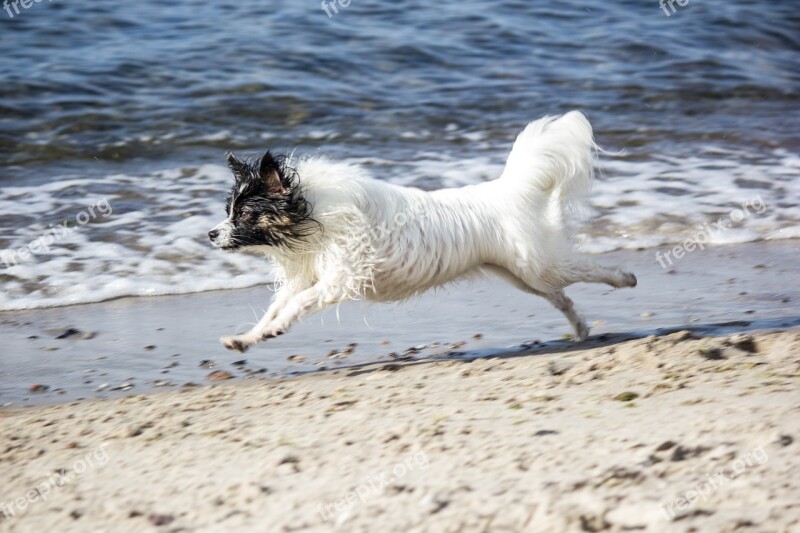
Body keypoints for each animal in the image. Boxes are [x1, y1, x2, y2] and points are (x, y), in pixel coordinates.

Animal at [209, 110, 636, 352]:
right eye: (228, 211)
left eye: (244, 213)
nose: (211, 234)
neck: (309, 211)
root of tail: (508, 191)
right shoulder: (309, 275)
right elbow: (275, 308)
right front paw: (248, 338)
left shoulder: (336, 280)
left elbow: (294, 306)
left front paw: (275, 330)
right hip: (522, 276)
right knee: (561, 297)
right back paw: (581, 328)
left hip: (537, 265)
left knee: (584, 270)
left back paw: (624, 278)